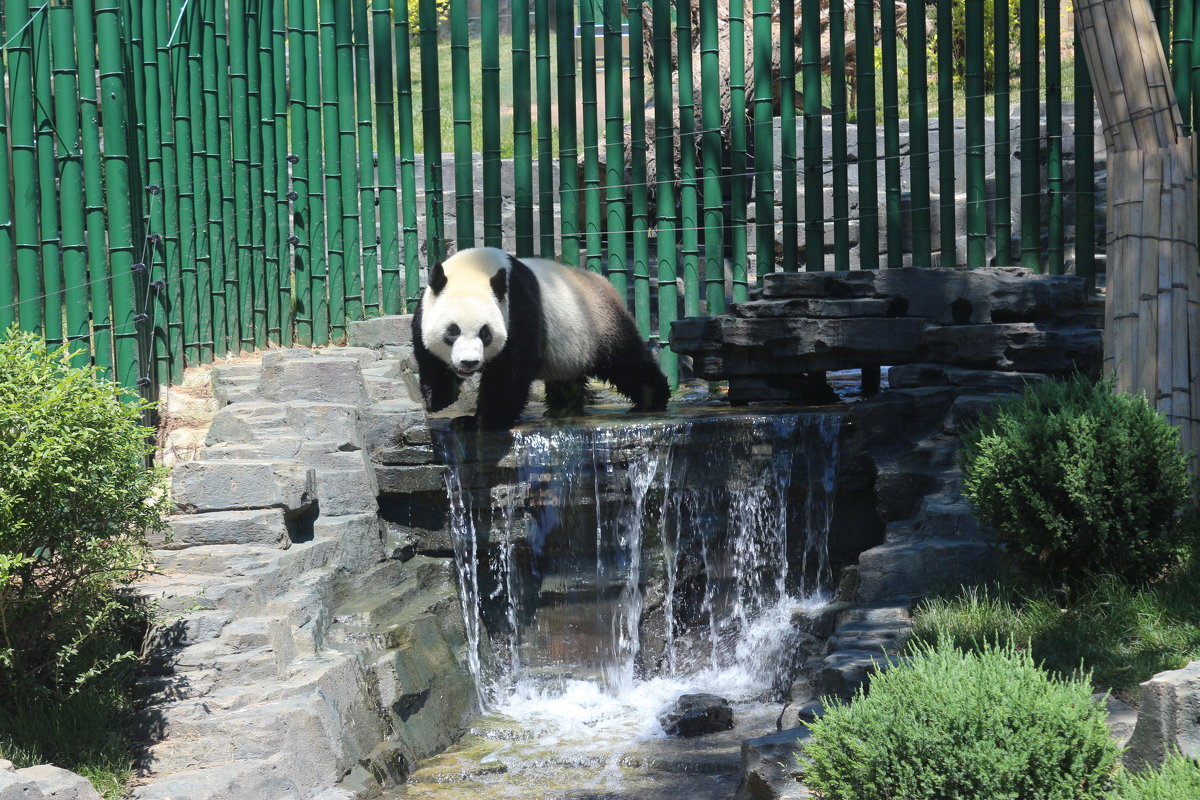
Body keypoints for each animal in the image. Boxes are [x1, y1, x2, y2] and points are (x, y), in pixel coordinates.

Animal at [412, 247, 672, 431]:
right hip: (569, 348)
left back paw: (652, 400)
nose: (469, 363)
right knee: (567, 381)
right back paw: (562, 411)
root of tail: (606, 283)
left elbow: (511, 369)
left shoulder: (517, 309)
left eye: (485, 333)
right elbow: (427, 355)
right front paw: (439, 400)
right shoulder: (426, 307)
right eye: (452, 331)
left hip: (599, 324)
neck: (474, 270)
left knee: (627, 363)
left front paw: (482, 421)